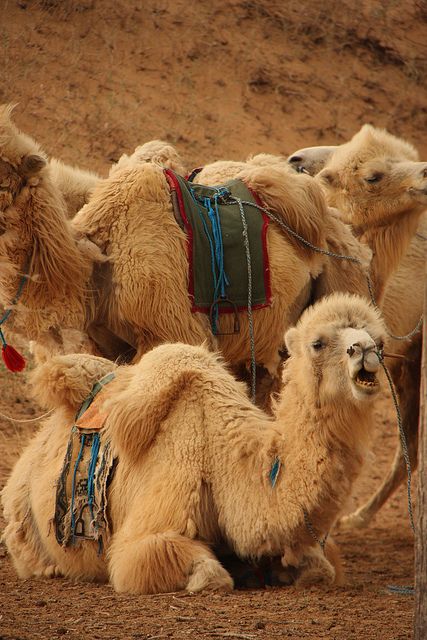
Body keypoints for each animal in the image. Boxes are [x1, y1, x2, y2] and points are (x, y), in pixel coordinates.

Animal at [0, 292, 388, 592]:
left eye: (380, 342)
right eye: (318, 343)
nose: (365, 350)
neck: (221, 458)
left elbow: (321, 570)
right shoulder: (153, 521)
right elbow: (206, 573)